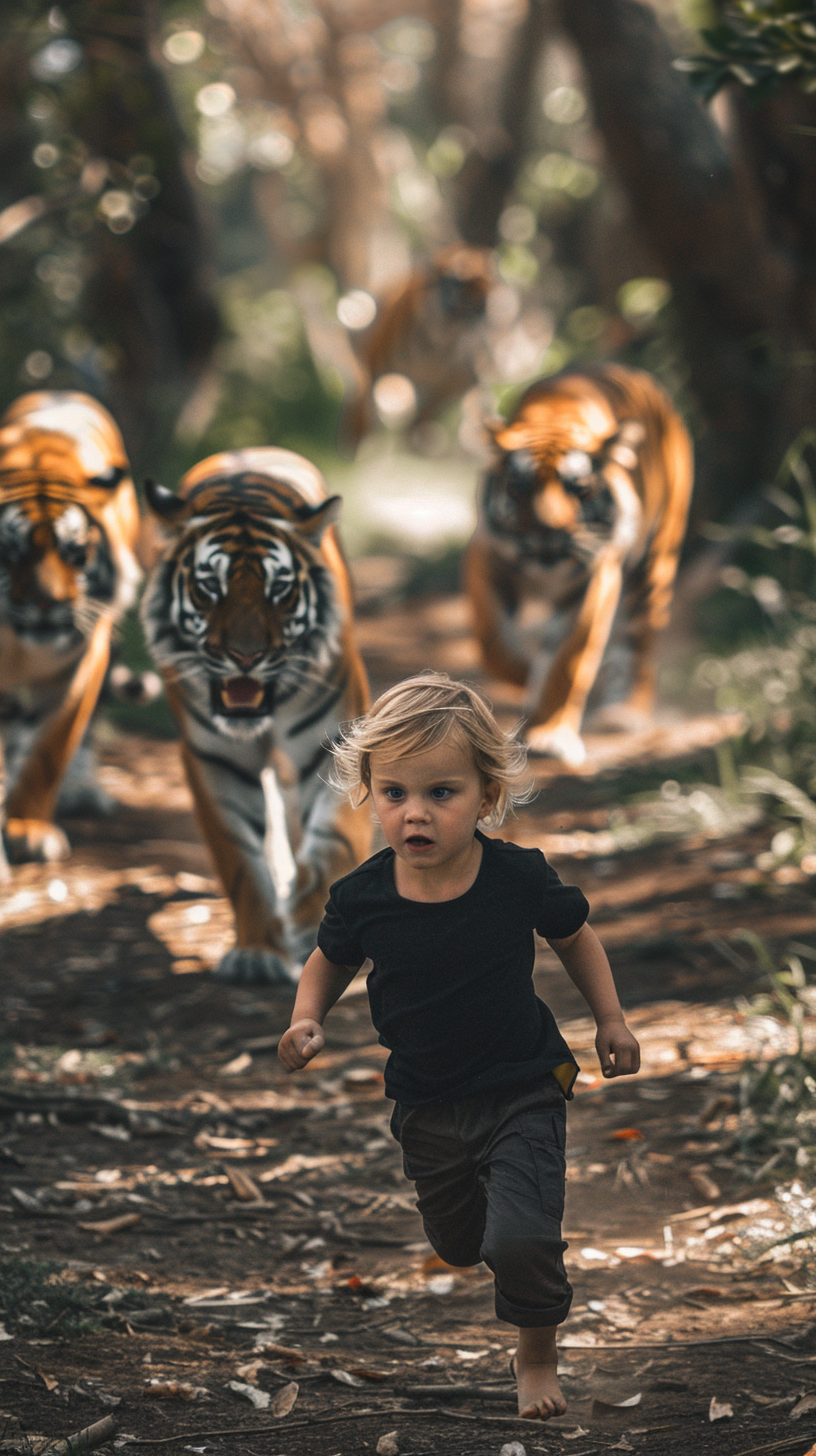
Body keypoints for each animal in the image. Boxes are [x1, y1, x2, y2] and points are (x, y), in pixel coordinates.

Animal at [0, 393, 141, 856]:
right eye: (10, 552)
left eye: (75, 553)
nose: (49, 603)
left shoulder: (82, 660)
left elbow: (49, 748)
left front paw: (26, 829)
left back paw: (82, 792)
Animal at [139, 448, 370, 984]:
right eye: (209, 587)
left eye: (280, 589)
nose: (246, 656)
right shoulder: (215, 761)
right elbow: (240, 859)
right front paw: (257, 953)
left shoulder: (336, 746)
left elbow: (334, 841)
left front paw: (307, 917)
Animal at [339, 244, 489, 448]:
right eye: (461, 282)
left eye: (488, 286)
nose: (483, 309)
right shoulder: (374, 367)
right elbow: (363, 400)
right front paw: (354, 439)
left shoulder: (459, 379)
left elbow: (432, 406)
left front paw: (419, 436)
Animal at [466, 362, 693, 768]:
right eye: (519, 488)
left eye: (580, 488)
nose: (548, 532)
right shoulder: (487, 560)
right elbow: (494, 646)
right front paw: (528, 682)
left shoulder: (594, 577)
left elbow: (568, 661)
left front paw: (548, 734)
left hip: (654, 566)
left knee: (640, 643)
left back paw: (624, 713)